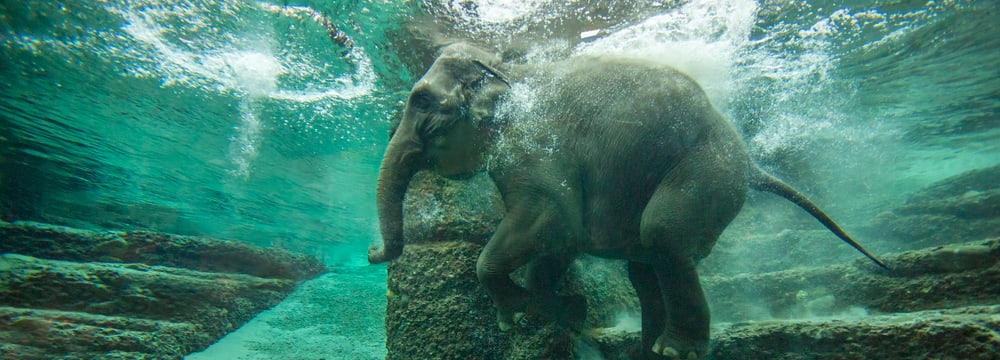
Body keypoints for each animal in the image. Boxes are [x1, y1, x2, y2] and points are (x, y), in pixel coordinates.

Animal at [368, 43, 884, 360]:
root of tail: (751, 163)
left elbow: (551, 218)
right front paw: (560, 310)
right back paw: (648, 349)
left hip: (706, 171)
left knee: (663, 234)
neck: (508, 68)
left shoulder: (535, 145)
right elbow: (560, 240)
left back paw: (675, 350)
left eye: (421, 101)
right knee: (645, 266)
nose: (373, 252)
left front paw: (515, 317)